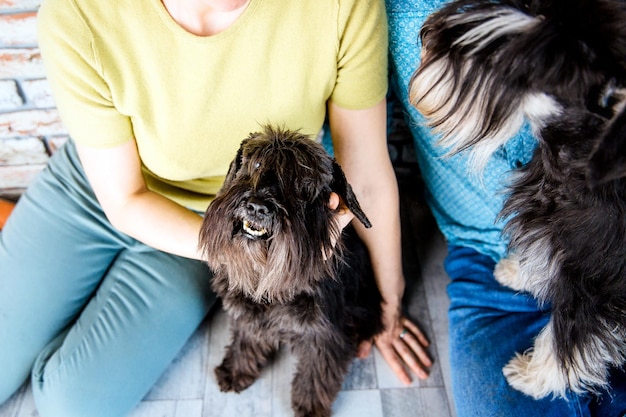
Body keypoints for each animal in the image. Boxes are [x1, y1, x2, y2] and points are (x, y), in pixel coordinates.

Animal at [200, 126, 382, 416]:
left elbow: (316, 373)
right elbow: (245, 339)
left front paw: (310, 407)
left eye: (303, 181)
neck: (268, 280)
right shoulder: (248, 314)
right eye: (256, 163)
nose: (257, 207)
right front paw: (235, 370)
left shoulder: (324, 336)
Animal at [408, 0, 624, 398]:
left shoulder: (591, 285)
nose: (427, 35)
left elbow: (567, 341)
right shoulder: (549, 226)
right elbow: (541, 254)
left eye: (526, 63)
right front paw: (515, 271)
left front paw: (532, 375)